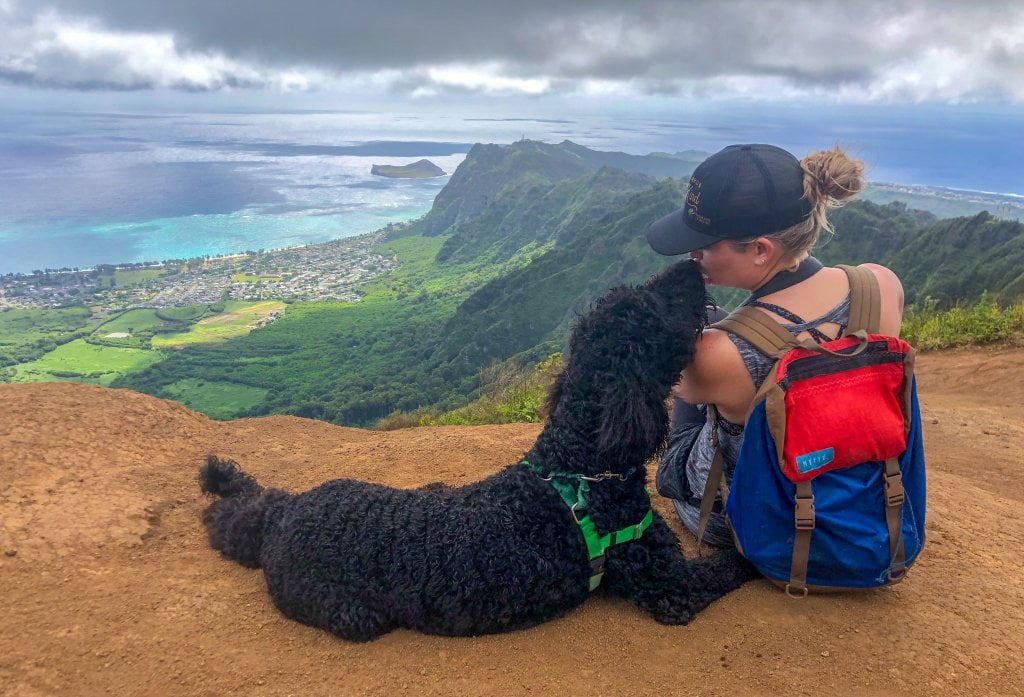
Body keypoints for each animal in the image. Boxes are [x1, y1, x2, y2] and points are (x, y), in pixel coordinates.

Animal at [201, 257, 761, 638]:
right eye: (649, 308)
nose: (692, 264)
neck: (579, 468)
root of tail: (284, 514)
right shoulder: (669, 586)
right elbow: (731, 565)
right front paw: (757, 558)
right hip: (348, 611)